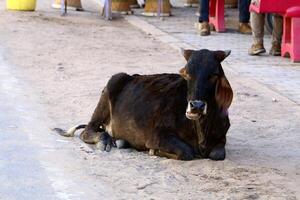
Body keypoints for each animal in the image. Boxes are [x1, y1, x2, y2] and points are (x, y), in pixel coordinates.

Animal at [56, 48, 234, 161]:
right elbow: (186, 152)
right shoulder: (158, 135)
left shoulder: (221, 138)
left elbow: (218, 154)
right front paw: (155, 151)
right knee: (87, 131)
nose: (196, 106)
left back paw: (120, 141)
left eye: (214, 75)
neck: (200, 128)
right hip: (112, 83)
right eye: (187, 74)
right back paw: (104, 140)